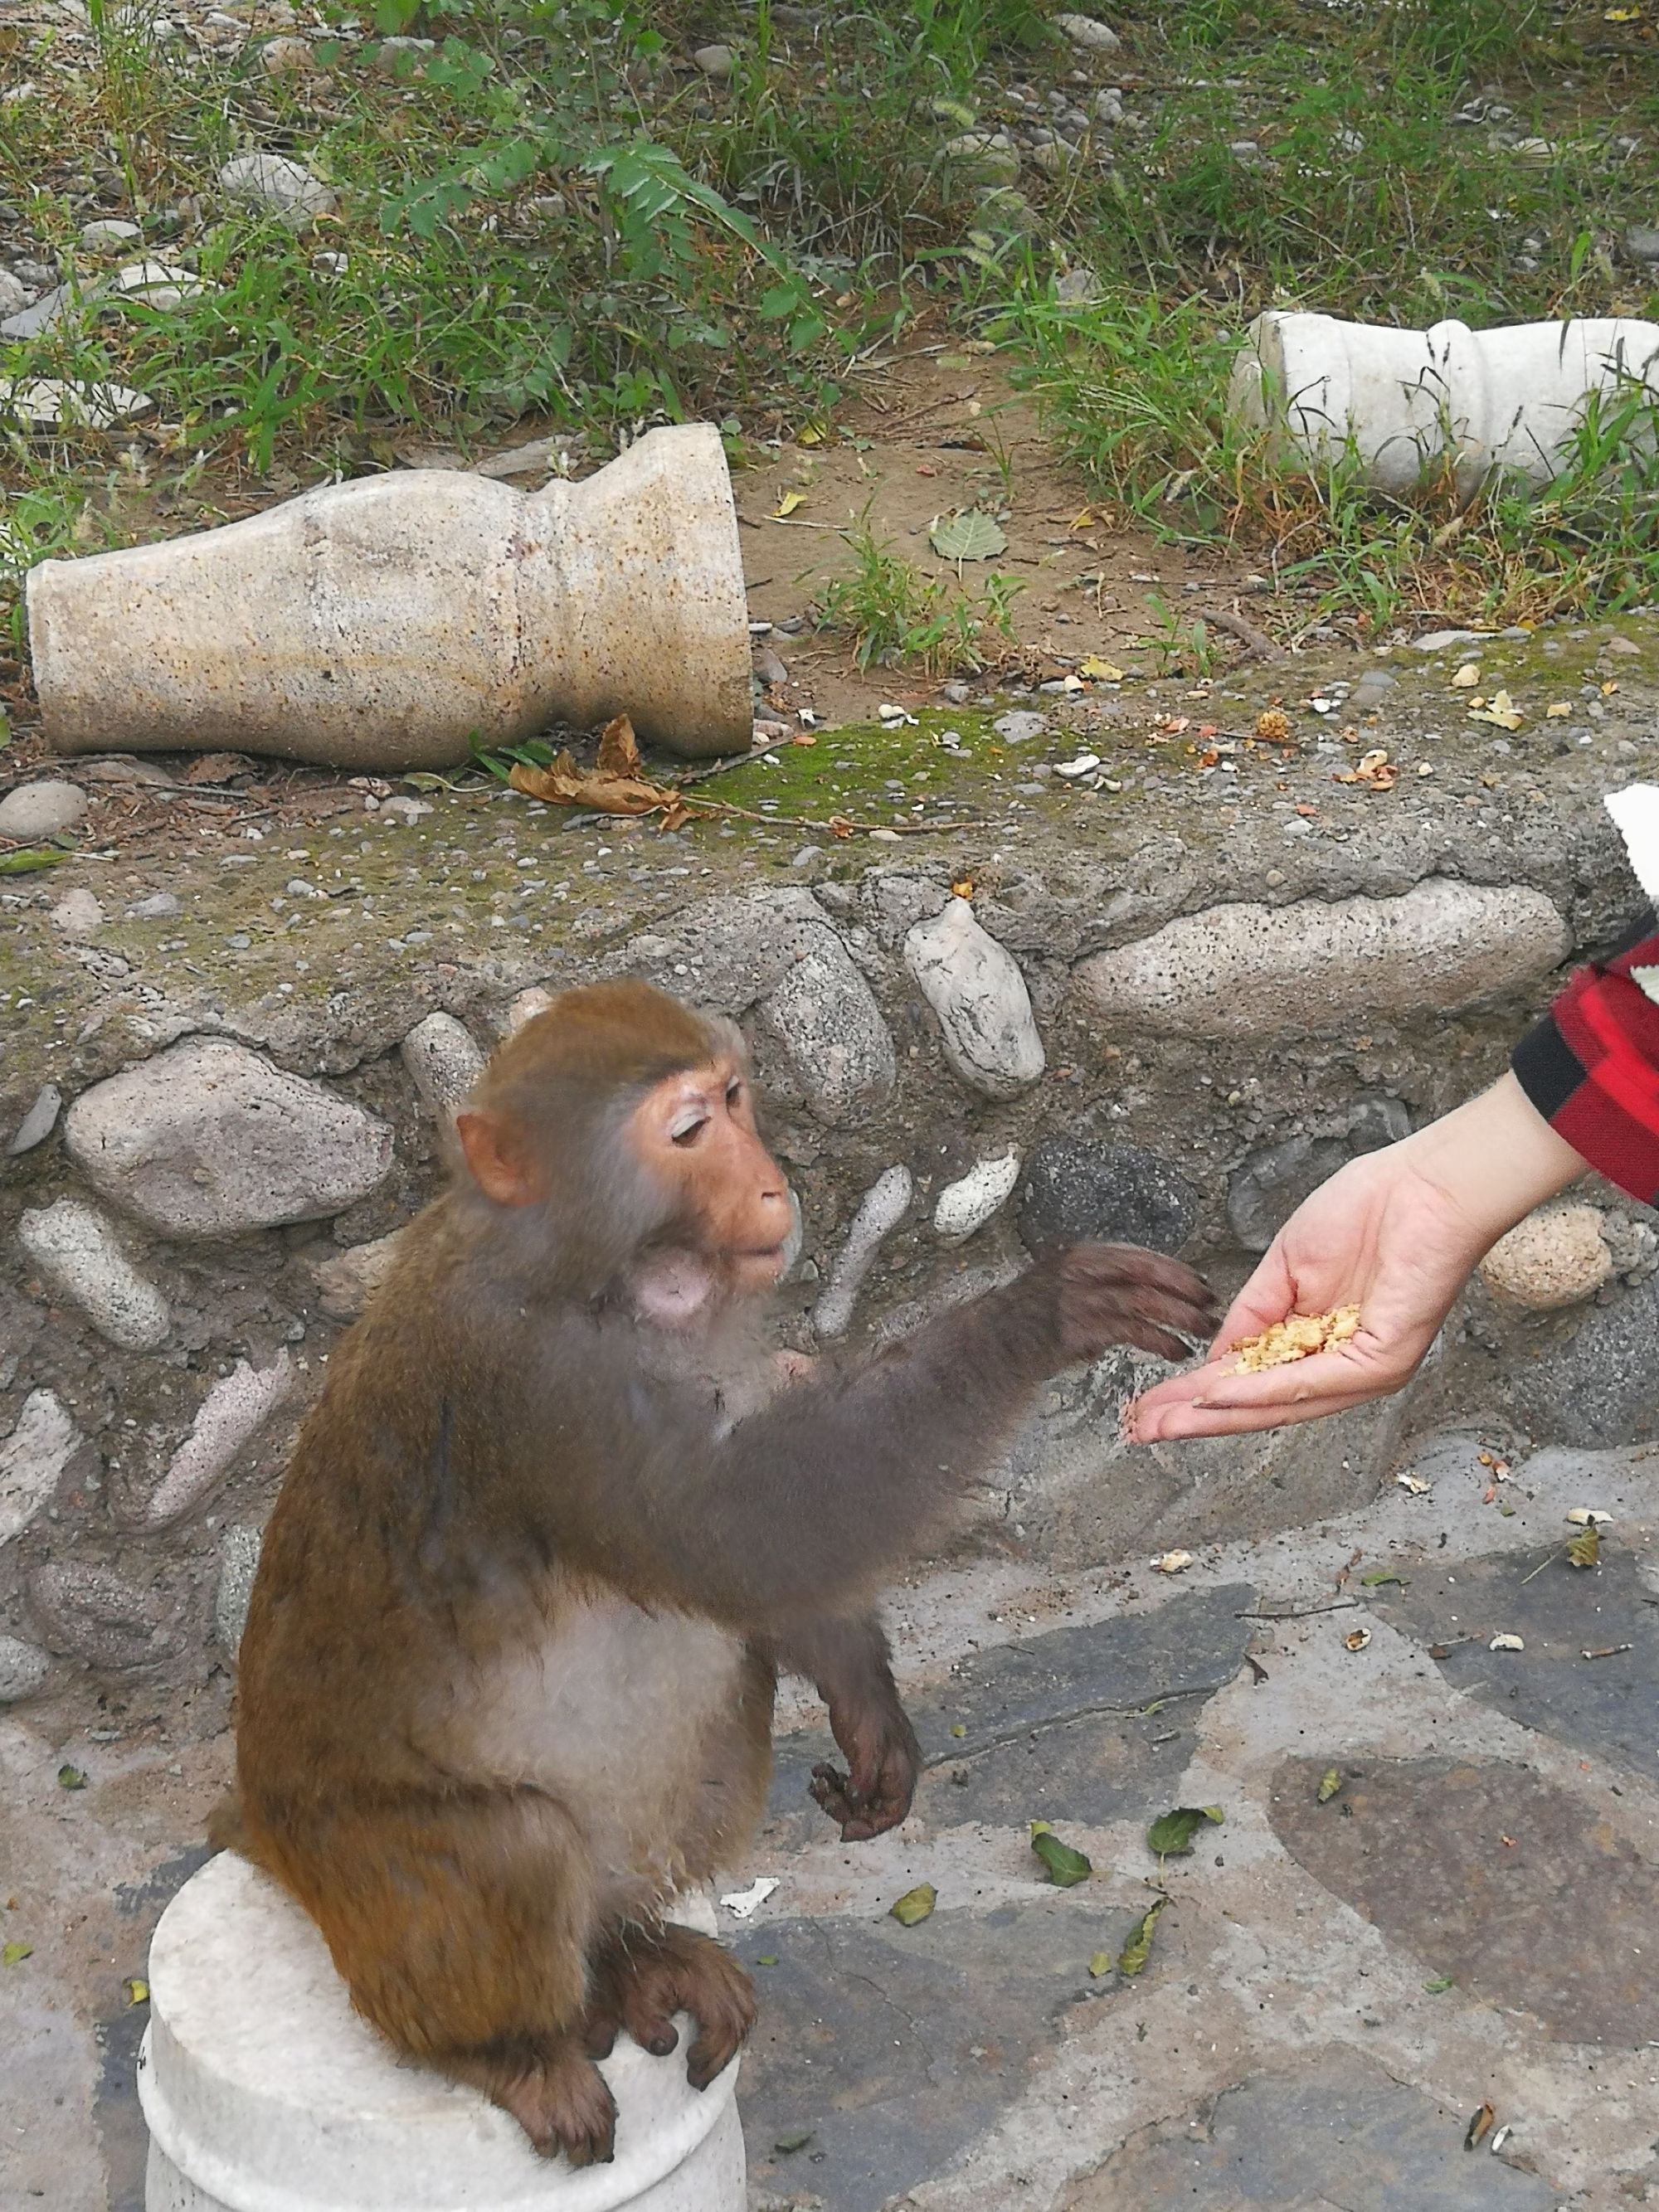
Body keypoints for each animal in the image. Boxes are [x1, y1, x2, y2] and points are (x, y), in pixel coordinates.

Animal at [214, 982, 1212, 2158]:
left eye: (736, 1100)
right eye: (688, 1131)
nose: (772, 1179)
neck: (599, 1277)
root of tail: (268, 1845)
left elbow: (764, 1567)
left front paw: (866, 1709)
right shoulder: (545, 1386)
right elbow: (747, 1530)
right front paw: (1040, 1312)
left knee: (729, 1682)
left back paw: (627, 1959)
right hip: (359, 1890)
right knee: (513, 1844)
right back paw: (503, 2050)